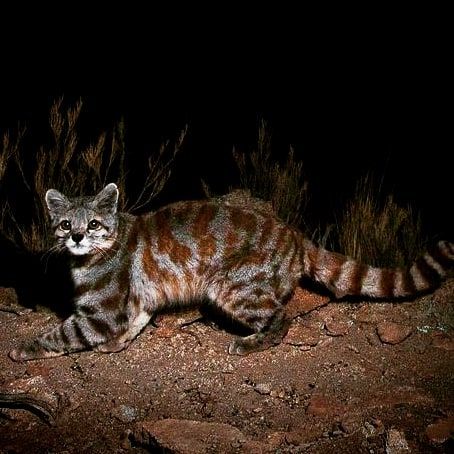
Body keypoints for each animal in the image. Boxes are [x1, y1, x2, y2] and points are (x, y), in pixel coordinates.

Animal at [8, 183, 452, 360]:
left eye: (94, 224)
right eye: (66, 223)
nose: (77, 237)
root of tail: (292, 232)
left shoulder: (101, 312)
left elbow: (61, 333)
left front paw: (24, 348)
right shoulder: (138, 299)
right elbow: (138, 318)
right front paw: (120, 343)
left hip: (234, 288)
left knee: (281, 319)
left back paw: (253, 342)